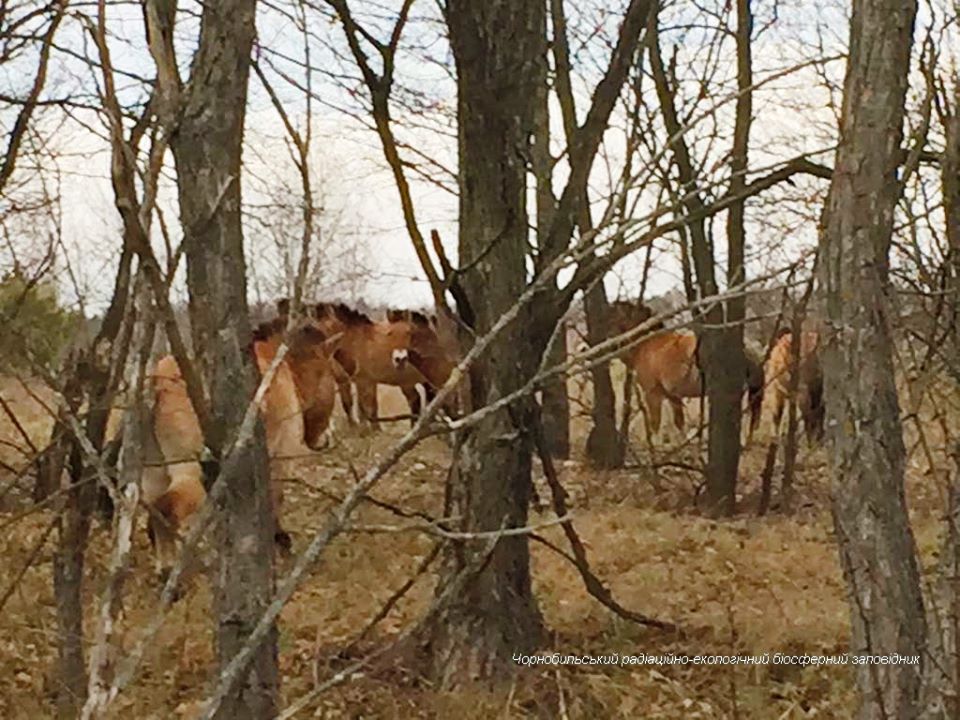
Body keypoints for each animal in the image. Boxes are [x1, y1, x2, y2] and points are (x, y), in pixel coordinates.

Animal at [141, 320, 340, 580]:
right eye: (333, 376)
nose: (327, 438)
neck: (283, 367)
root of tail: (156, 384)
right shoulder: (279, 459)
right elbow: (276, 500)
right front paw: (280, 542)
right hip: (187, 470)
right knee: (166, 509)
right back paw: (169, 570)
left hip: (153, 475)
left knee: (154, 510)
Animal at [608, 302, 764, 442]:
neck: (647, 345)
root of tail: (749, 347)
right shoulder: (673, 397)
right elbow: (679, 423)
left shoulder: (653, 395)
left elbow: (656, 425)